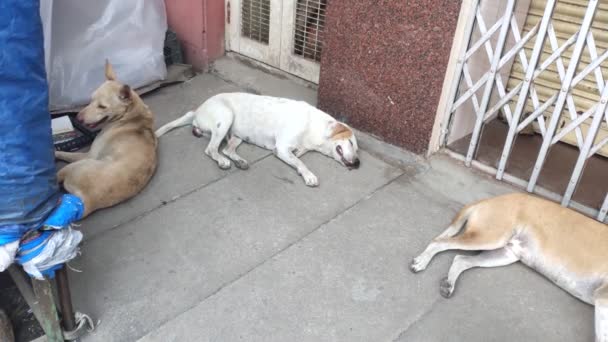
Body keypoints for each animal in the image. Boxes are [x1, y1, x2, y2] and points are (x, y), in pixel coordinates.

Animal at [55, 60, 158, 218]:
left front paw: (55, 151)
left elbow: (65, 153)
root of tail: (88, 202)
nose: (78, 118)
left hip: (77, 165)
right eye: (91, 99)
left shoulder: (88, 154)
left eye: (102, 106)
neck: (131, 115)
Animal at [154, 92, 360, 186]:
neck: (313, 126)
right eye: (351, 143)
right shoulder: (282, 148)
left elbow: (298, 158)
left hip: (236, 135)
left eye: (357, 149)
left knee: (227, 149)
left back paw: (240, 161)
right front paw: (309, 175)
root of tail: (197, 111)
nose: (358, 163)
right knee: (211, 149)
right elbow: (301, 162)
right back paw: (222, 161)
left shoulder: (295, 149)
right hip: (225, 116)